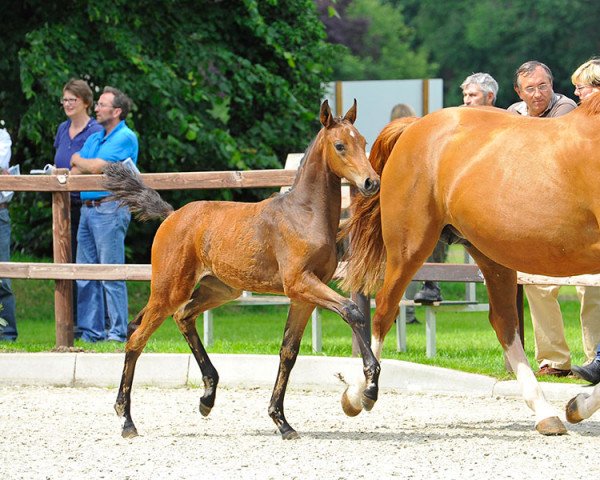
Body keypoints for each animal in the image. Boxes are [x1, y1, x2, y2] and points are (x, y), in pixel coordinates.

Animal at [100, 100, 378, 438]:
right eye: (340, 145)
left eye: (363, 141)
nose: (371, 182)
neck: (304, 214)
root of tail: (171, 215)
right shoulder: (300, 283)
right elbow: (353, 310)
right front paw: (369, 389)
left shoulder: (303, 297)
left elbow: (288, 352)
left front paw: (281, 421)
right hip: (170, 289)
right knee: (137, 338)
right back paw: (127, 420)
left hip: (218, 289)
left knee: (181, 317)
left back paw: (207, 397)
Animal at [340, 94, 600, 436]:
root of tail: (416, 125)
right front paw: (579, 404)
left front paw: (577, 405)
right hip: (409, 247)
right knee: (384, 310)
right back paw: (360, 394)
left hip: (492, 255)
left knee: (504, 322)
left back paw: (545, 412)